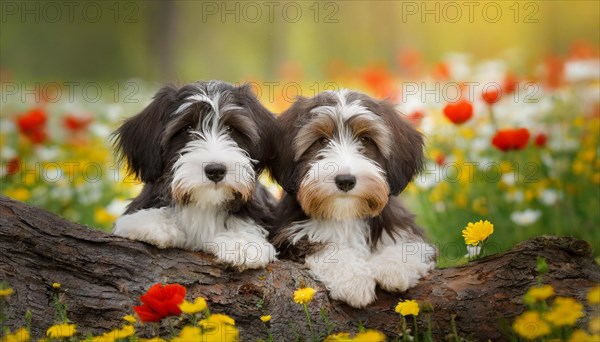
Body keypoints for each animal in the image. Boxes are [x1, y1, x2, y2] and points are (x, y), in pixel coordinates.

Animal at [112, 80, 276, 270]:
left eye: (230, 128)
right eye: (187, 128)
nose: (215, 170)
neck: (205, 203)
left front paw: (241, 241)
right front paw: (153, 223)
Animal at [272, 89, 436, 308]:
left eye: (365, 140)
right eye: (322, 141)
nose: (345, 180)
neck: (346, 214)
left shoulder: (403, 225)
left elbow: (411, 243)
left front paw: (394, 268)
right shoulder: (289, 236)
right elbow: (322, 246)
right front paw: (353, 281)